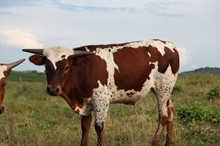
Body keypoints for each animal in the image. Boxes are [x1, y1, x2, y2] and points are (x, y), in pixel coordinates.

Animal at [23, 39, 180, 146]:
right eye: (46, 66)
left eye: (66, 67)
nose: (52, 89)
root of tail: (170, 45)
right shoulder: (86, 102)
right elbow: (85, 127)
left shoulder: (101, 99)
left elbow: (99, 127)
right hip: (166, 91)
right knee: (170, 110)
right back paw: (169, 142)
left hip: (162, 89)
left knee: (163, 116)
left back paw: (155, 142)